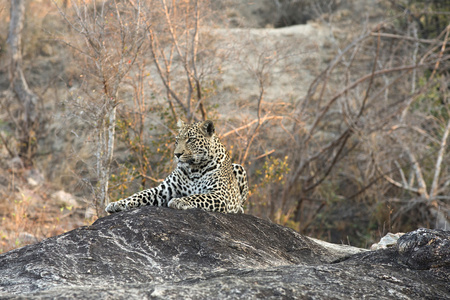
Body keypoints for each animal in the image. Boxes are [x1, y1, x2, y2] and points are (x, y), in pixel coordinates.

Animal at [104, 118, 250, 214]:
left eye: (190, 140)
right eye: (176, 140)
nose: (177, 154)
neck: (195, 169)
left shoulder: (221, 194)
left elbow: (198, 196)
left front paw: (178, 201)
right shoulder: (164, 190)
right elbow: (141, 194)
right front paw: (118, 203)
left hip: (239, 167)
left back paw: (239, 209)